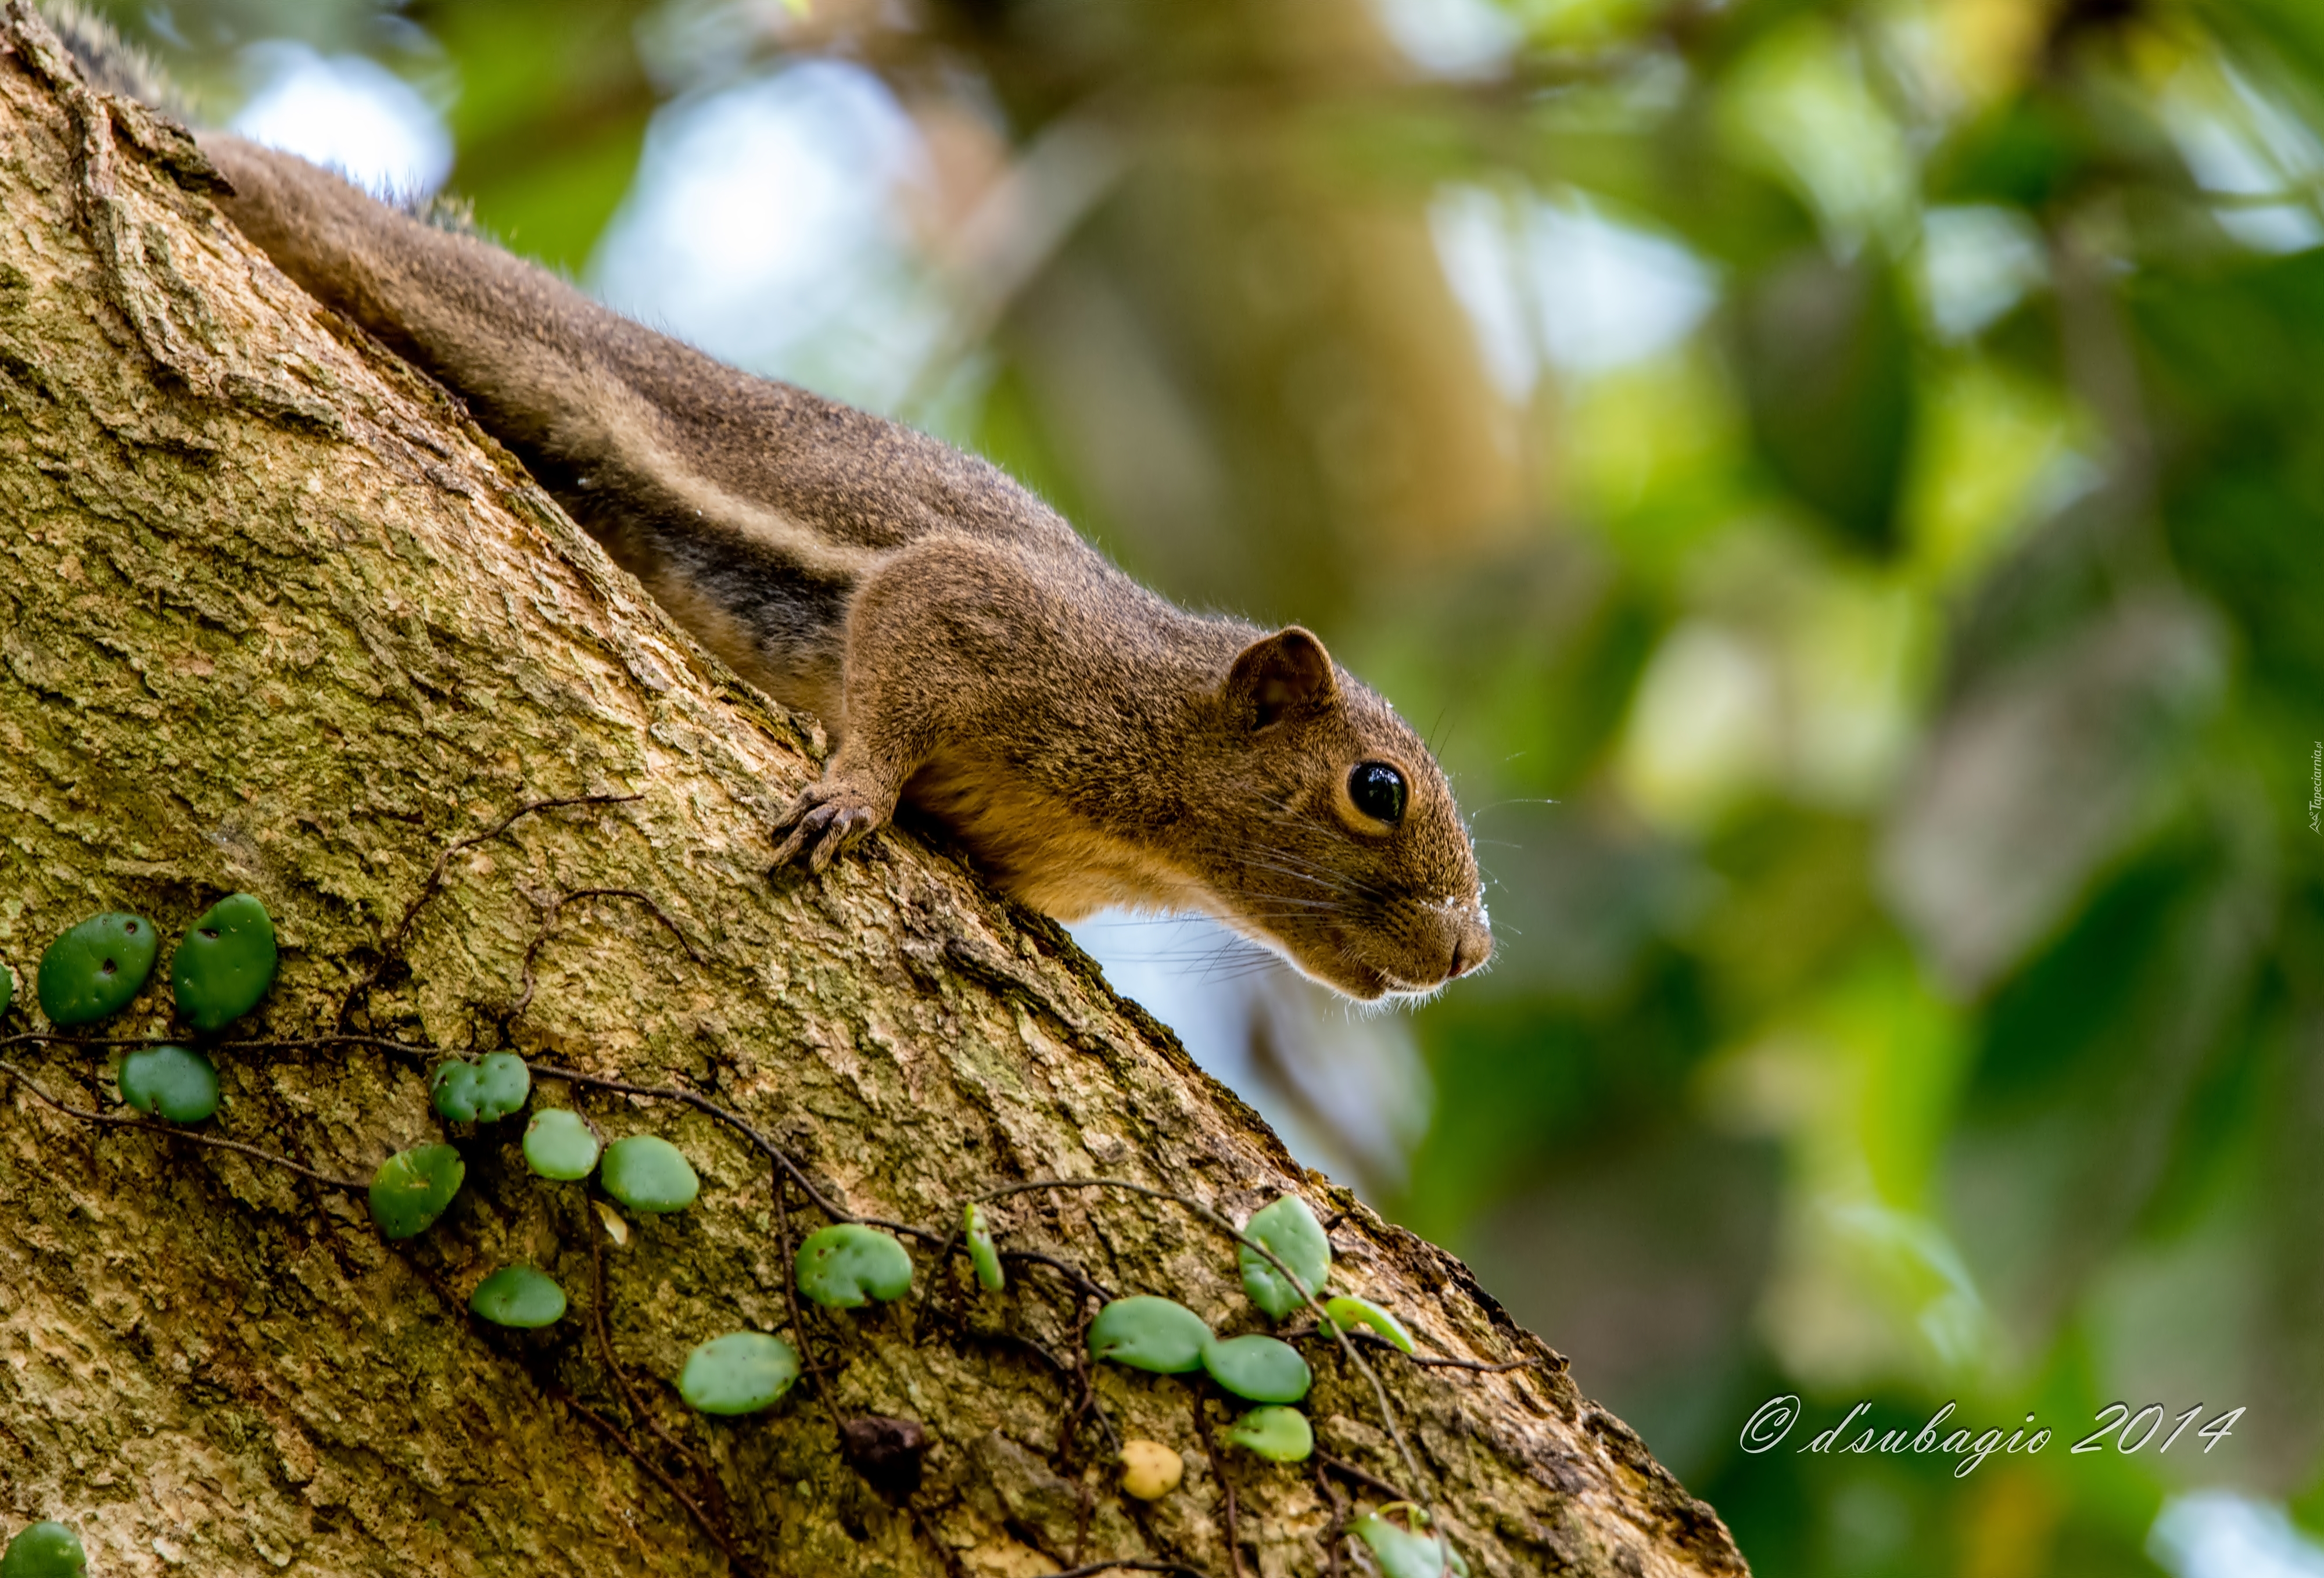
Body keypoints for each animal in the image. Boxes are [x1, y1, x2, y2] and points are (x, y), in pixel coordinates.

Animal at [59, 6, 1506, 999]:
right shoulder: (1000, 619)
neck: (1146, 767)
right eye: (1376, 787)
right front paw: (852, 794)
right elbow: (904, 641)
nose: (1466, 950)